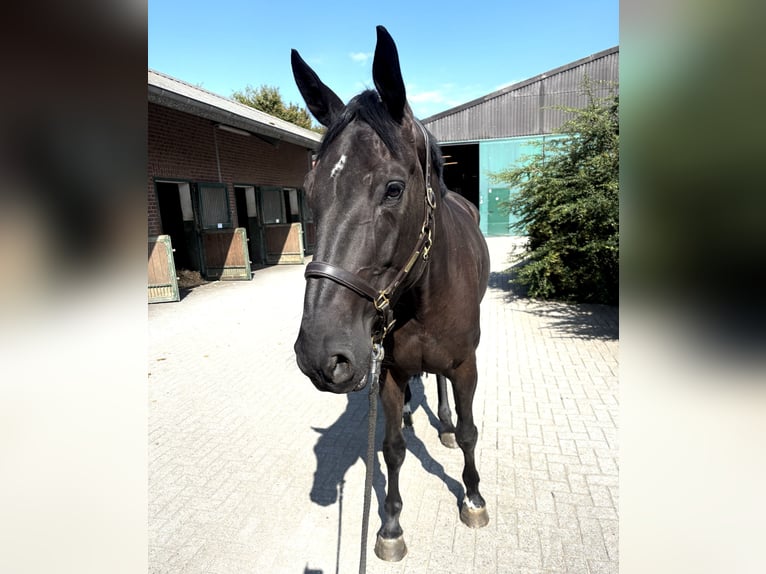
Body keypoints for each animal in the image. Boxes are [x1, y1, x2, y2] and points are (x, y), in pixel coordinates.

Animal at [292, 25, 490, 562]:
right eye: (309, 192)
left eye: (394, 188)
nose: (321, 355)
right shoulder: (390, 372)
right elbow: (393, 449)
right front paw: (390, 526)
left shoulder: (466, 365)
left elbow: (470, 432)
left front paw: (474, 496)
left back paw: (443, 424)